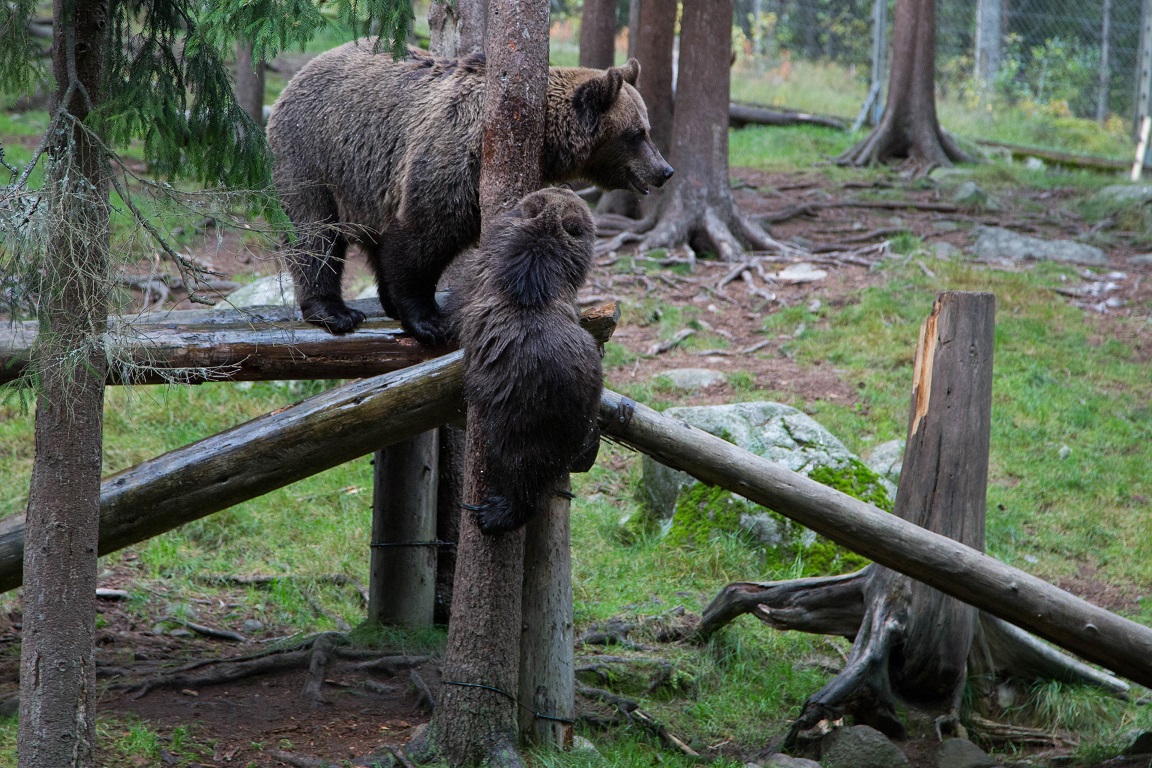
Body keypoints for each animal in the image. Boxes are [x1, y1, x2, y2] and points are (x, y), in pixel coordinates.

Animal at [263, 41, 672, 343]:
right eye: (636, 134)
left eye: (647, 128)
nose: (664, 170)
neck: (545, 141)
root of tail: (302, 71)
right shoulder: (455, 158)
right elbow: (422, 237)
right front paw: (429, 320)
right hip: (313, 152)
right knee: (314, 232)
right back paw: (335, 311)